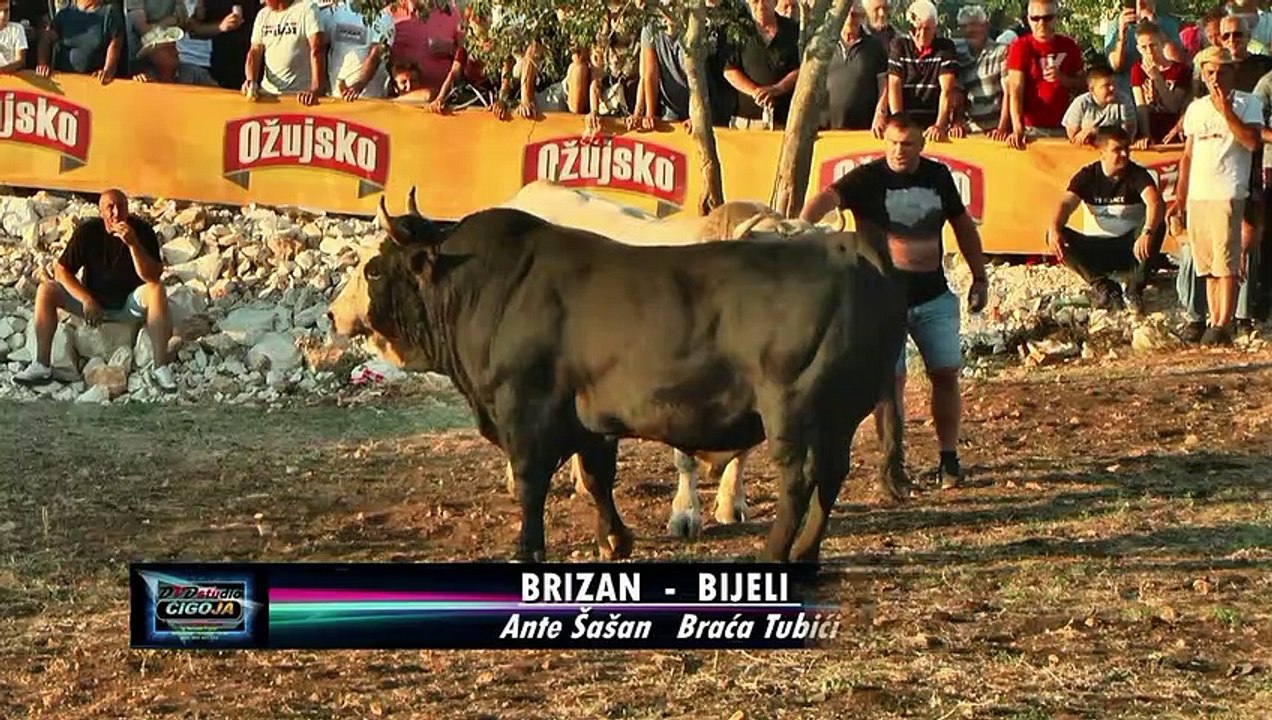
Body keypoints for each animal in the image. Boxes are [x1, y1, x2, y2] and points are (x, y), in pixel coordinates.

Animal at [330, 188, 909, 564]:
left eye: (373, 267)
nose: (334, 313)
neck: (486, 284)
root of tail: (848, 251)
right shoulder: (590, 417)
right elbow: (596, 477)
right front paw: (614, 539)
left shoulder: (526, 409)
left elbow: (532, 483)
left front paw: (528, 548)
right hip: (838, 417)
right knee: (831, 477)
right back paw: (806, 554)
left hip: (794, 413)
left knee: (800, 480)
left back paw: (774, 553)